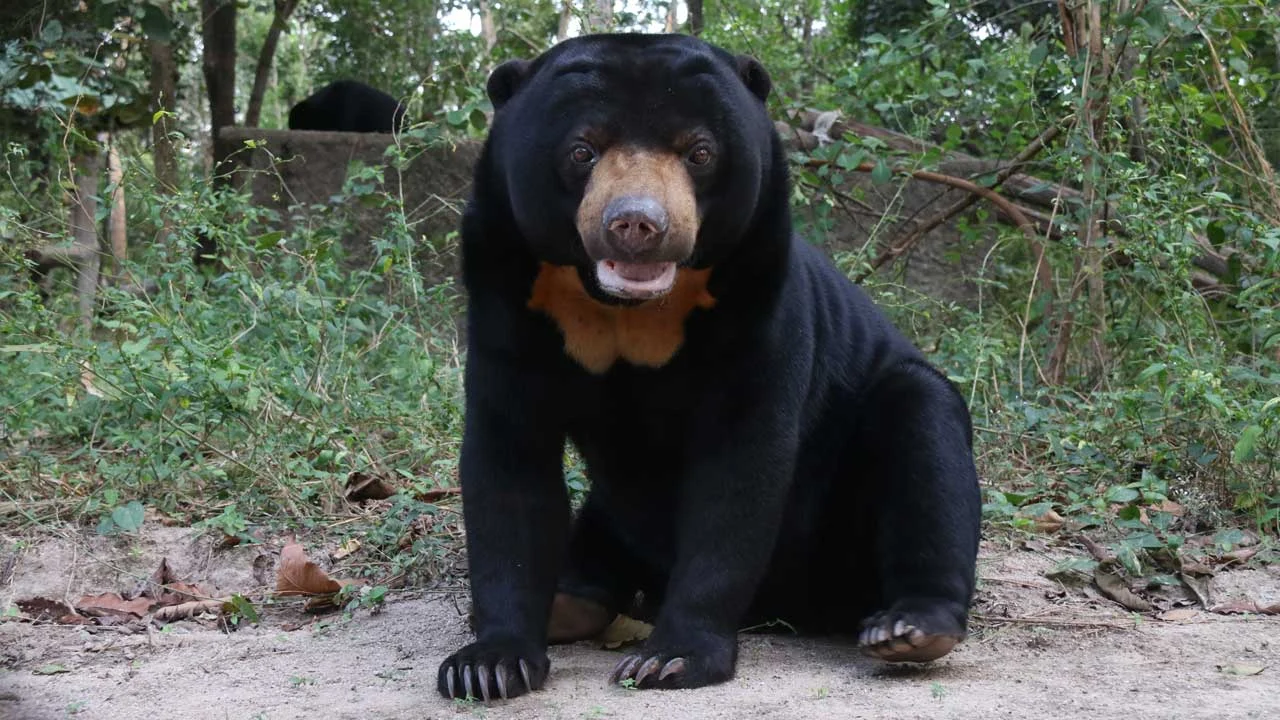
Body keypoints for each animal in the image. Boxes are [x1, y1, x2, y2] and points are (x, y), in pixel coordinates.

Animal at [436, 33, 983, 702]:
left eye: (699, 152)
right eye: (582, 150)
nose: (637, 225)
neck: (625, 310)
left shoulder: (758, 298)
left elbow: (737, 470)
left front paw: (672, 659)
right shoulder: (506, 298)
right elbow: (508, 462)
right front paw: (486, 665)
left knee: (923, 433)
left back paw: (909, 628)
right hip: (616, 515)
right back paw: (568, 605)